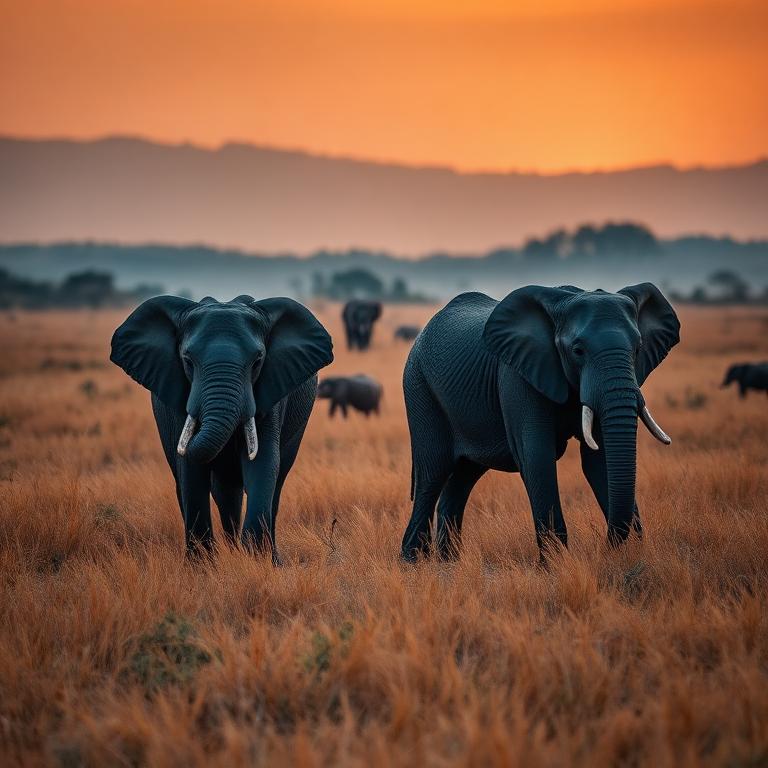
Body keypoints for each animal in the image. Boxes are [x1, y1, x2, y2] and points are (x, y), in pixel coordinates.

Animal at [110, 295, 333, 561]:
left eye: (257, 361)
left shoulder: (271, 392)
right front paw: (202, 565)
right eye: (187, 360)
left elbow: (263, 461)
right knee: (216, 490)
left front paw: (255, 560)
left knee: (272, 484)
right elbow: (190, 469)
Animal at [400, 284, 680, 562]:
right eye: (578, 351)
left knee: (464, 475)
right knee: (432, 472)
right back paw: (413, 561)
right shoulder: (517, 375)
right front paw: (555, 563)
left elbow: (598, 460)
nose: (607, 544)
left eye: (638, 349)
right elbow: (536, 456)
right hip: (419, 385)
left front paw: (631, 552)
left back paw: (450, 561)